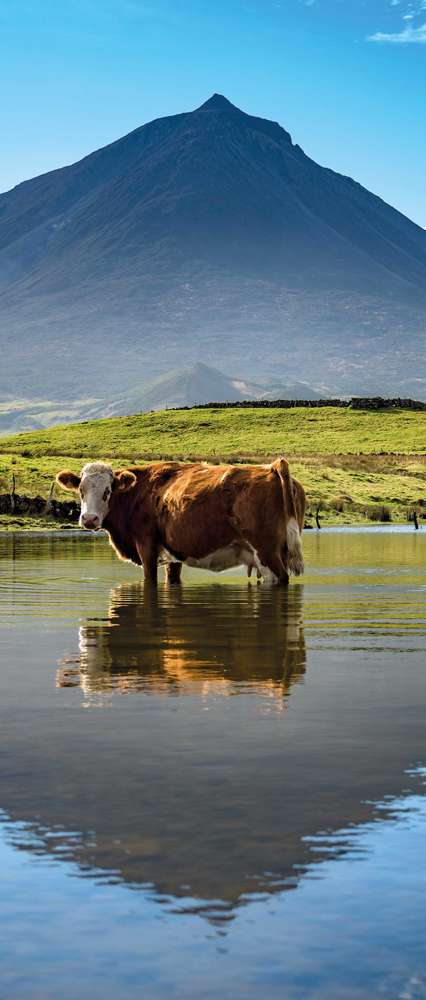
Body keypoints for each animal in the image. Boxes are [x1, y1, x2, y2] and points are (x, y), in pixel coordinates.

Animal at [55, 458, 306, 584]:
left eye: (108, 491)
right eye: (80, 490)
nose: (89, 519)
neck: (139, 492)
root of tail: (272, 468)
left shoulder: (146, 546)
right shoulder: (172, 554)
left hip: (266, 553)